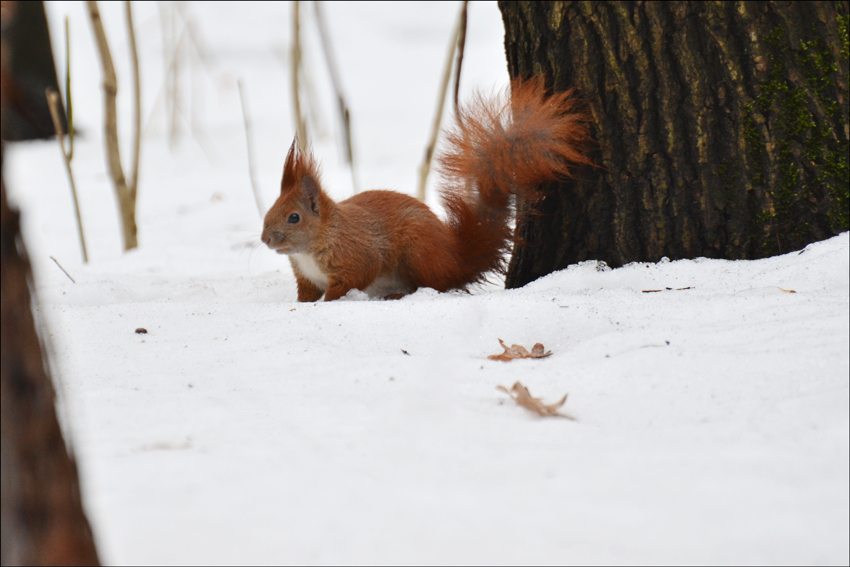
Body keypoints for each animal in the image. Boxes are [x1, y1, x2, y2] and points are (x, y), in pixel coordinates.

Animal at [260, 79, 588, 306]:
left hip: (417, 251)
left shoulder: (357, 255)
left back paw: (400, 295)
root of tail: (454, 260)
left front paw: (329, 303)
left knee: (433, 285)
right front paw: (300, 307)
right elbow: (306, 294)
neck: (314, 245)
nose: (265, 240)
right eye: (271, 209)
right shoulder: (306, 278)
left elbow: (354, 279)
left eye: (293, 217)